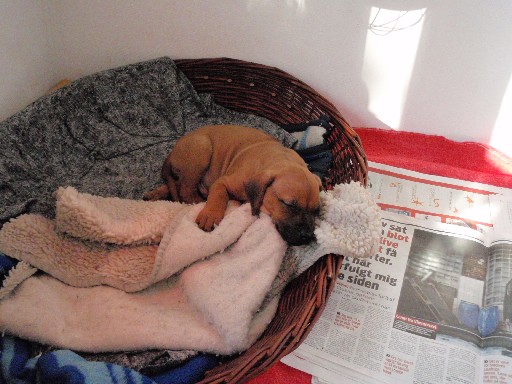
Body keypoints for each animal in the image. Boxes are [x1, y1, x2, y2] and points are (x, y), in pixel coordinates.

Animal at [142, 126, 322, 246]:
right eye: (288, 204)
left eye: (316, 210)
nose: (308, 236)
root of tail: (172, 152)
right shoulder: (223, 182)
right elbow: (219, 195)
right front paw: (210, 215)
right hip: (202, 149)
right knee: (185, 189)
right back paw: (199, 200)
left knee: (176, 184)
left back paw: (154, 194)